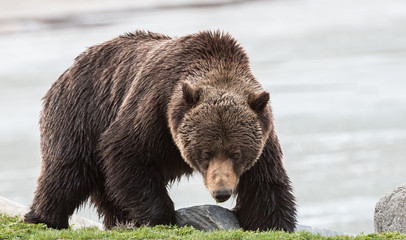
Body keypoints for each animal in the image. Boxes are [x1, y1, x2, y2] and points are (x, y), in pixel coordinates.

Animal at [26, 30, 298, 231]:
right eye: (206, 152)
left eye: (236, 153)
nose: (221, 192)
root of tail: (67, 72)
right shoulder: (153, 110)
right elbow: (126, 152)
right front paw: (161, 217)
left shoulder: (263, 134)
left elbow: (265, 184)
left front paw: (272, 223)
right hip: (80, 115)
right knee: (66, 173)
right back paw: (44, 218)